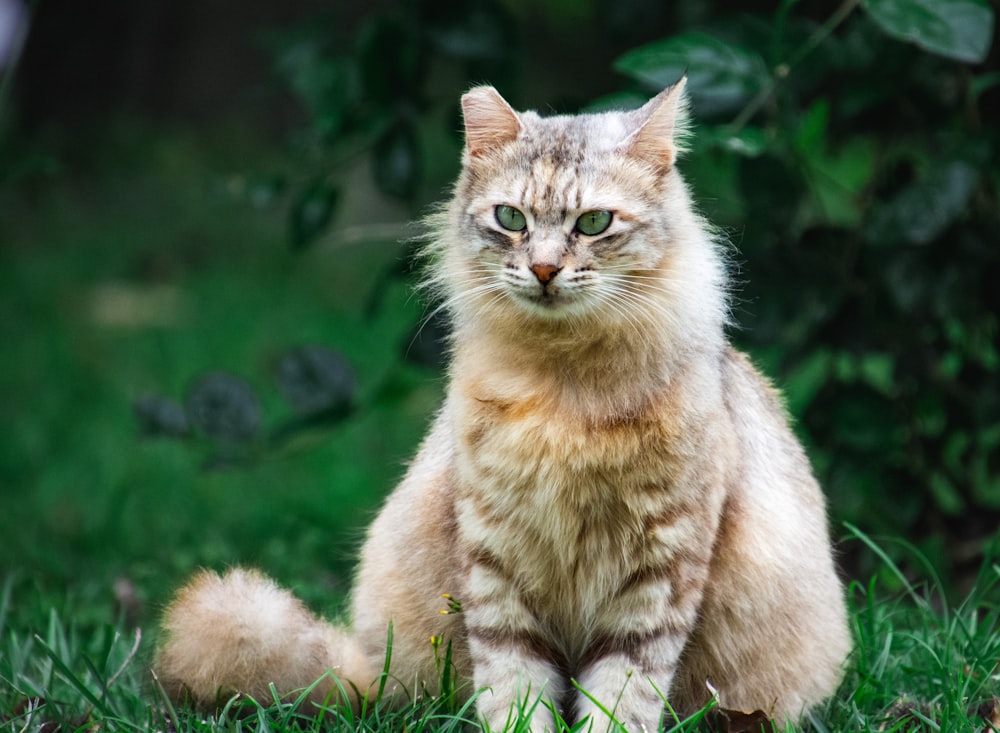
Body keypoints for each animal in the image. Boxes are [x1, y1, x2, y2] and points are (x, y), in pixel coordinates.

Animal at [156, 77, 852, 728]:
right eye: (511, 219)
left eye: (593, 223)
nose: (543, 270)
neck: (563, 388)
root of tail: (362, 664)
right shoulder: (495, 557)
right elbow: (515, 688)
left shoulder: (659, 571)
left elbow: (620, 697)